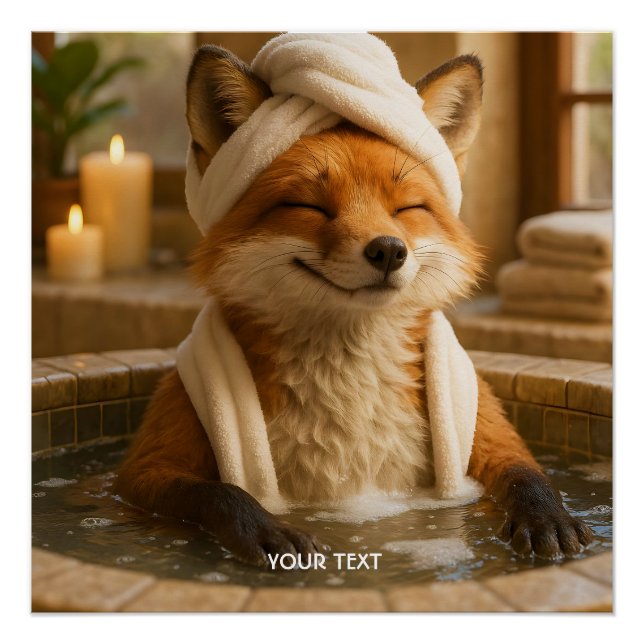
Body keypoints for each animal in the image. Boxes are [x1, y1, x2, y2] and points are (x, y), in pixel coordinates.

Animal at [115, 42, 593, 566]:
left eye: (407, 208)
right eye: (309, 206)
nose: (388, 250)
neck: (349, 404)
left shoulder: (486, 433)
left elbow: (529, 476)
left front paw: (548, 517)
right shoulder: (148, 467)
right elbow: (221, 494)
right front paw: (264, 530)